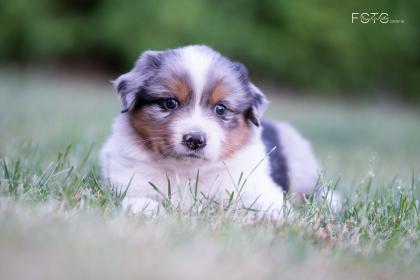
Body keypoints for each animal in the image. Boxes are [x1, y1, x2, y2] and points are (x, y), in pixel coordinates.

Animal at [101, 45, 322, 217]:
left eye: (221, 108)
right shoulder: (128, 183)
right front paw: (150, 211)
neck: (187, 170)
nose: (195, 139)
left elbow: (270, 206)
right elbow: (140, 202)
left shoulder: (258, 188)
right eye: (170, 103)